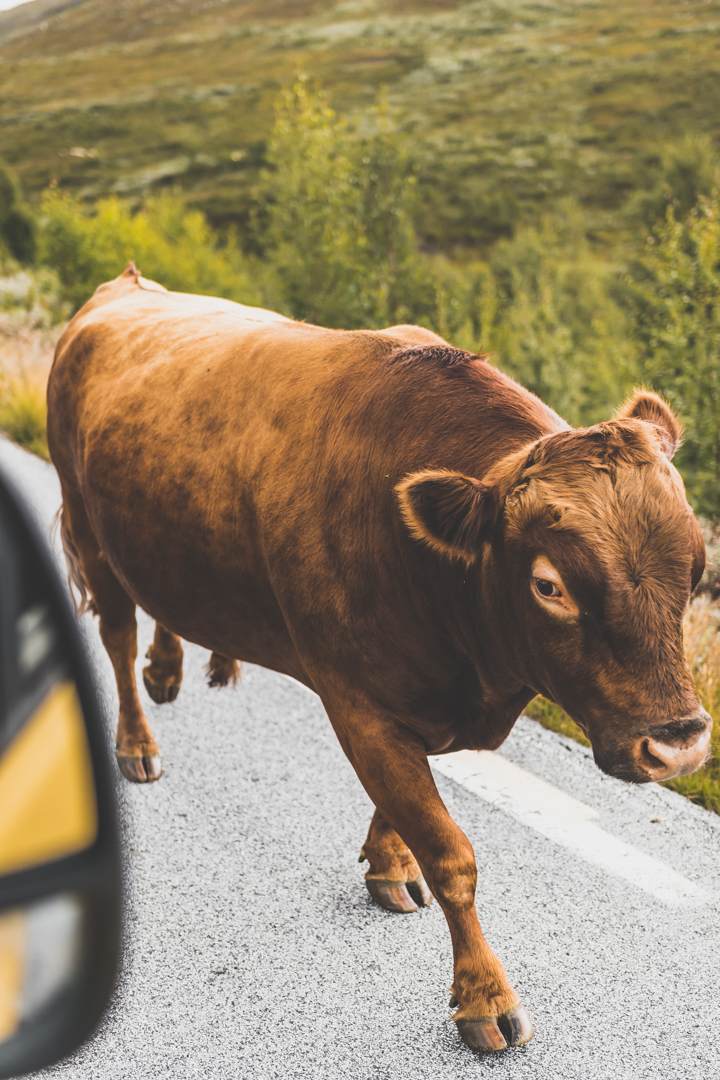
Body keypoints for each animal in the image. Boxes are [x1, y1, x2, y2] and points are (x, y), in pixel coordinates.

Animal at [47, 265, 712, 1049]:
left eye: (696, 566)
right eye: (549, 585)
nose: (678, 744)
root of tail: (126, 287)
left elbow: (405, 812)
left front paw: (388, 861)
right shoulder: (360, 705)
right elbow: (450, 852)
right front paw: (484, 997)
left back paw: (169, 667)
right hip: (85, 518)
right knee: (117, 635)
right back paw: (137, 742)